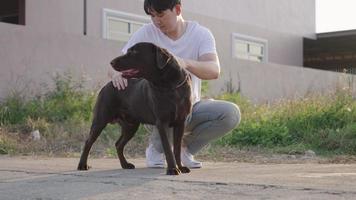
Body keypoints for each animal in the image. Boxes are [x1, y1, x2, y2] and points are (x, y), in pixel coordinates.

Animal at [78, 42, 192, 175]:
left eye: (134, 52)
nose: (111, 62)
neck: (170, 86)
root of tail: (107, 85)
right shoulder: (162, 123)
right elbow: (168, 148)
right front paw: (173, 169)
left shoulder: (180, 122)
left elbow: (177, 148)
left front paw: (181, 167)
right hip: (100, 120)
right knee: (88, 142)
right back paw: (82, 165)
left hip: (131, 126)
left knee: (118, 144)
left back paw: (125, 164)